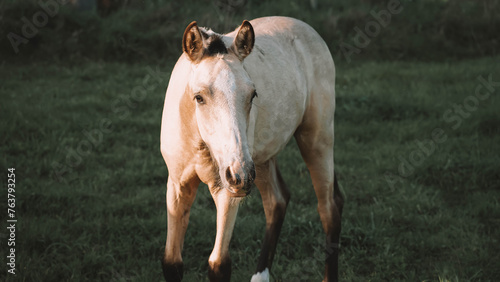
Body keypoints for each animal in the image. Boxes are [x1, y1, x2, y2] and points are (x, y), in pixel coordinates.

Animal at [161, 16, 344, 280]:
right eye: (199, 97)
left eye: (252, 95)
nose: (239, 175)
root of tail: (306, 28)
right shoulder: (178, 185)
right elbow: (172, 263)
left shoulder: (226, 191)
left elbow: (218, 265)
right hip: (260, 159)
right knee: (277, 201)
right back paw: (260, 276)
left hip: (314, 140)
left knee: (329, 209)